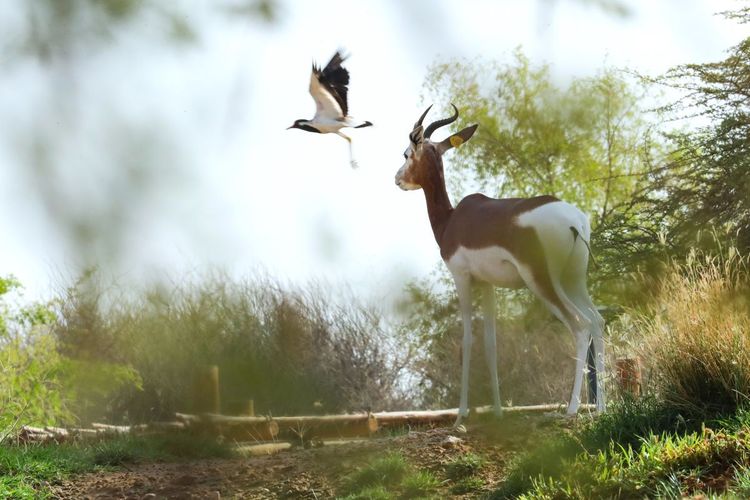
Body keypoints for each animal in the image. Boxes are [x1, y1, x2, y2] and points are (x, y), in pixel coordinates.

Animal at [395, 105, 605, 425]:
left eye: (407, 153)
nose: (397, 178)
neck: (451, 220)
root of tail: (575, 221)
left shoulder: (462, 278)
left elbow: (468, 340)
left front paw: (460, 417)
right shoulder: (488, 285)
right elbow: (491, 343)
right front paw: (496, 412)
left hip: (542, 282)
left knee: (580, 326)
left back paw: (571, 409)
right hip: (574, 280)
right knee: (597, 321)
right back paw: (604, 406)